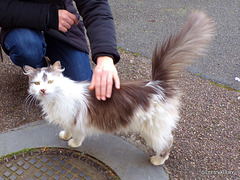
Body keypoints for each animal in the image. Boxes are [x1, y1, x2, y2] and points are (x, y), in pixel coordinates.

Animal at [23, 11, 214, 166]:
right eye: (37, 83)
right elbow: (68, 129)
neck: (54, 100)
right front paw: (64, 135)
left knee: (167, 142)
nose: (43, 90)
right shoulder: (68, 120)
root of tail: (156, 84)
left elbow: (77, 135)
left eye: (50, 82)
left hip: (153, 130)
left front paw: (73, 143)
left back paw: (158, 160)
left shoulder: (78, 122)